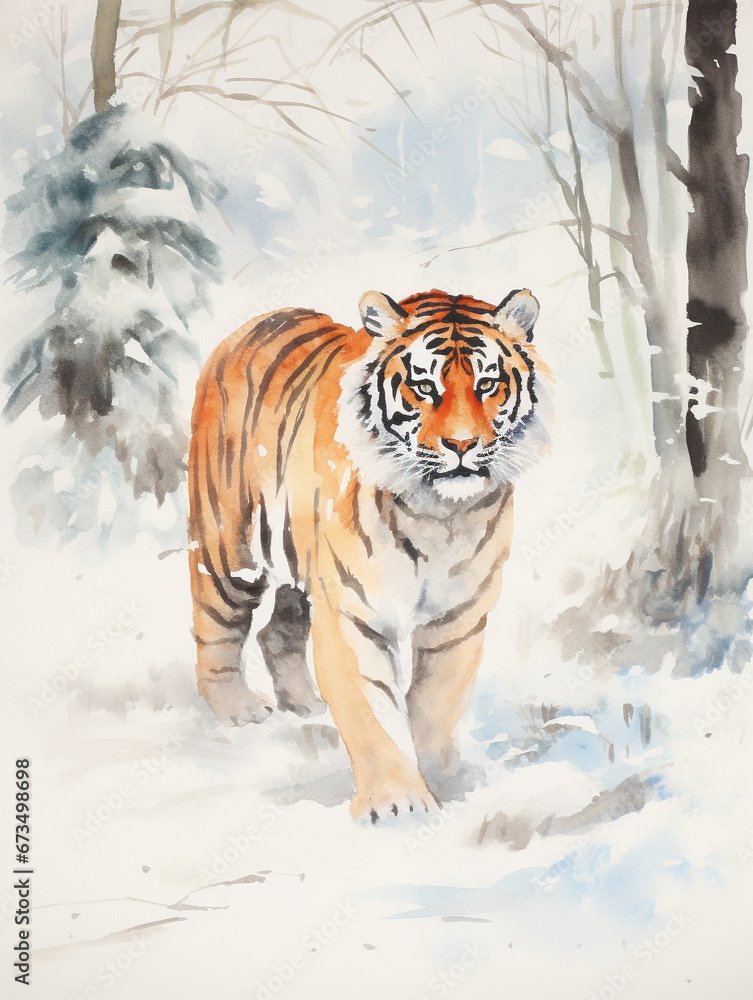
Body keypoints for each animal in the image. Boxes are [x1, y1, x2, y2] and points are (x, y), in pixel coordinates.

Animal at [188, 288, 551, 821]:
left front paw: (443, 783)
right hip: (229, 548)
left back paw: (304, 705)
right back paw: (240, 712)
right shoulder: (351, 612)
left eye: (487, 384)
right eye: (424, 385)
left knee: (277, 632)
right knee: (214, 630)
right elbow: (371, 711)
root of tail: (254, 324)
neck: (438, 514)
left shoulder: (458, 618)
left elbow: (437, 704)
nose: (462, 444)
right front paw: (399, 804)